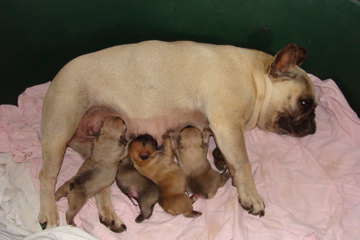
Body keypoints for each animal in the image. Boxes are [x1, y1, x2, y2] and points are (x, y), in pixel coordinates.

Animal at [38, 40, 318, 228]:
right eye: (305, 103)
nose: (314, 124)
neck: (255, 77)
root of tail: (56, 77)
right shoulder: (228, 126)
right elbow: (243, 162)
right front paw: (251, 194)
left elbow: (231, 162)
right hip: (59, 130)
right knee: (46, 175)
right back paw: (48, 214)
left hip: (101, 154)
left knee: (100, 185)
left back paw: (109, 215)